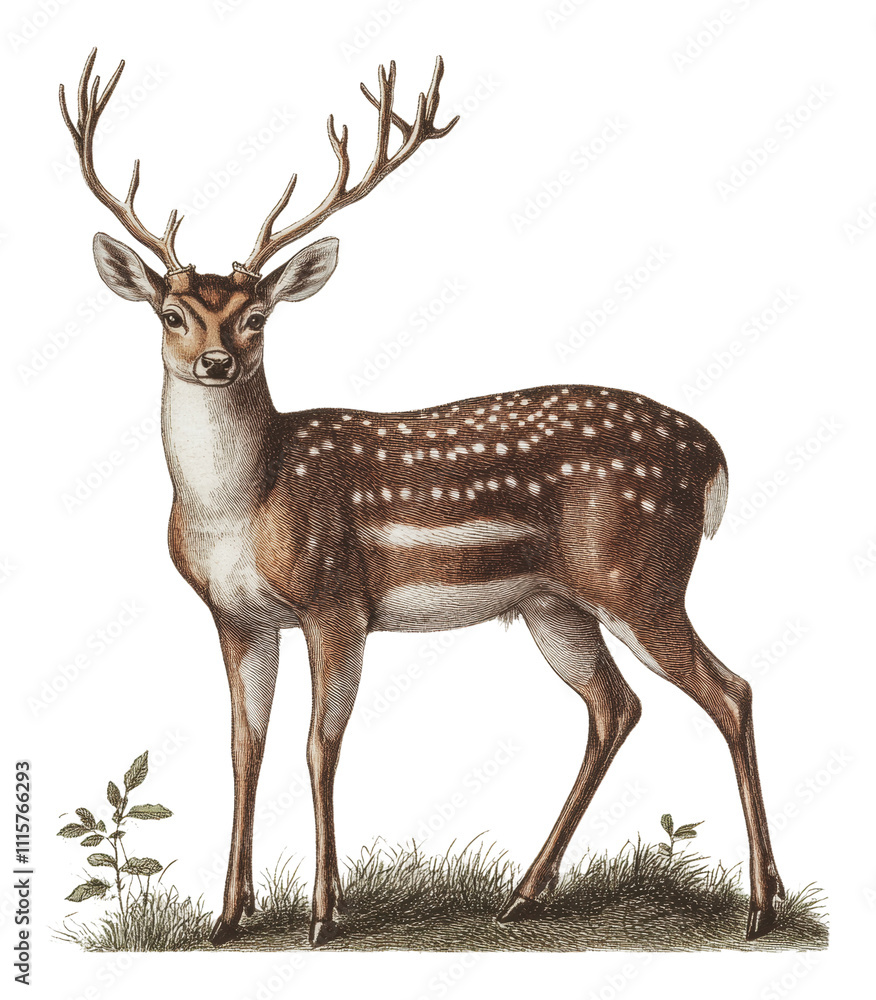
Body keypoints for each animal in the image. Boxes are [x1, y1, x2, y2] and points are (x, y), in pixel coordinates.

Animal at [60, 49, 785, 948]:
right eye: (171, 313)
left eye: (257, 316)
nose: (217, 362)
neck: (240, 508)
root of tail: (712, 456)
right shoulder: (234, 615)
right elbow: (243, 747)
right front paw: (228, 915)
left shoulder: (336, 599)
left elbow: (319, 744)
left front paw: (324, 914)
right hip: (555, 604)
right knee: (617, 706)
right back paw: (526, 894)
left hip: (639, 575)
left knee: (731, 690)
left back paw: (760, 905)